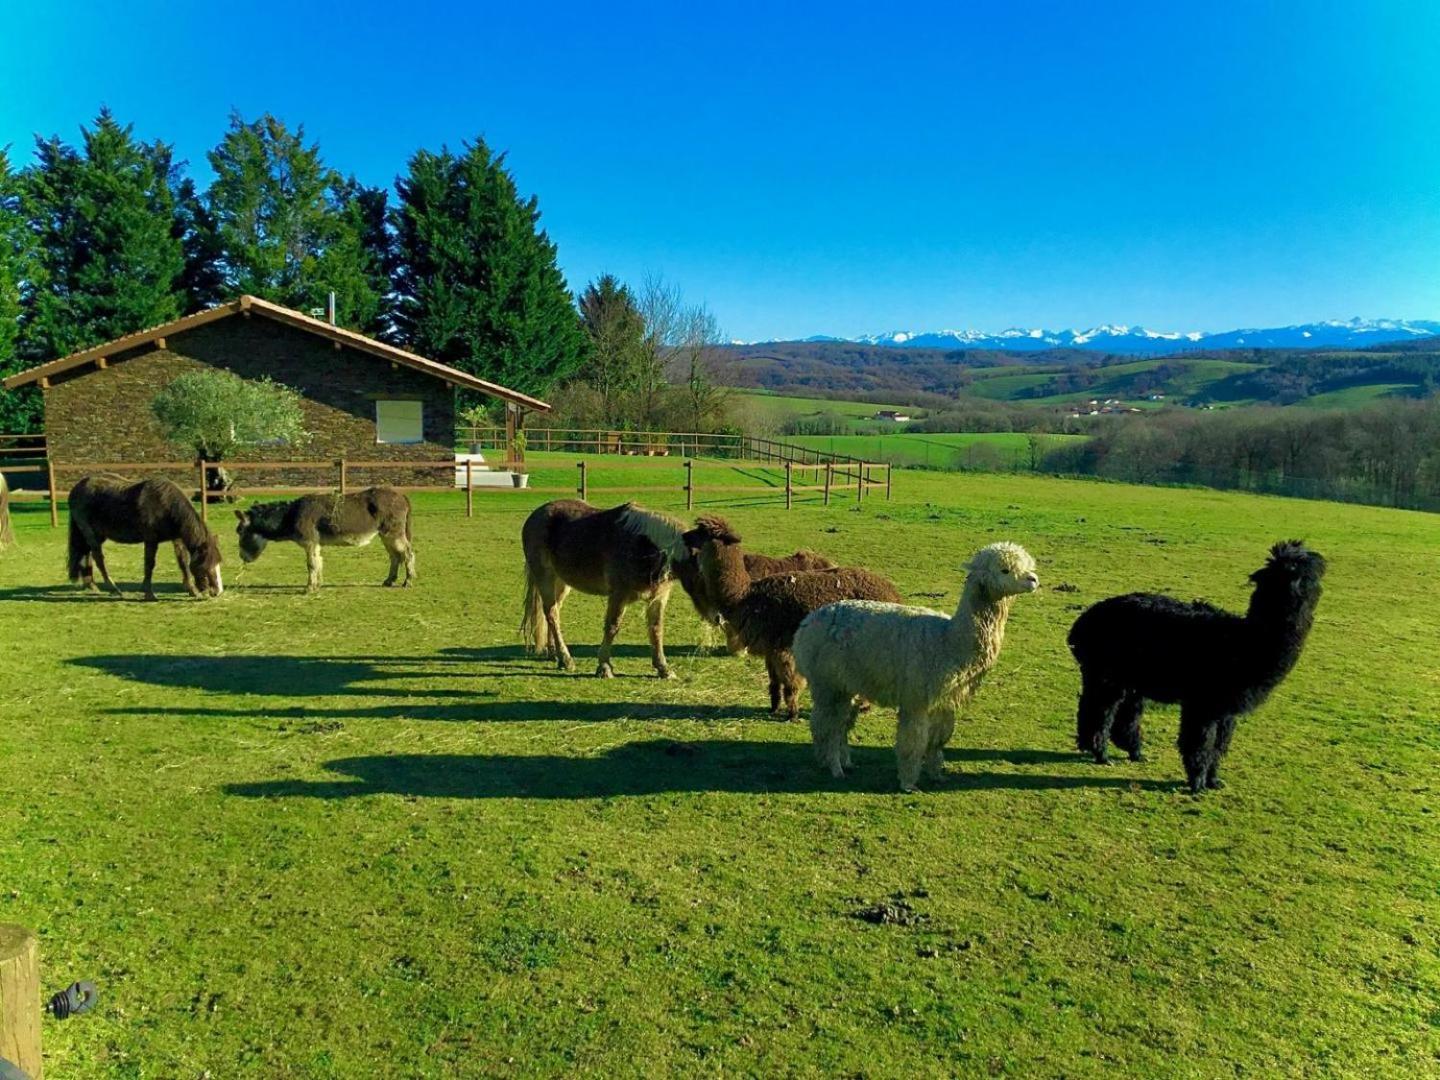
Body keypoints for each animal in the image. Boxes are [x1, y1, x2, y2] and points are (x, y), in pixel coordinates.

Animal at [67, 475, 223, 601]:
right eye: (205, 564)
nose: (217, 591)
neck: (166, 505)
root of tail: (76, 489)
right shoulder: (151, 540)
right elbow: (149, 564)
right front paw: (148, 593)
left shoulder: (177, 539)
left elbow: (183, 562)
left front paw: (192, 590)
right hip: (90, 533)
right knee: (98, 557)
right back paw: (113, 589)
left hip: (96, 535)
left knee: (86, 553)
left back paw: (91, 585)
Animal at [230, 489, 411, 593]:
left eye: (240, 531)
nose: (242, 557)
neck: (291, 515)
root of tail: (401, 495)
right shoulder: (315, 544)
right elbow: (318, 562)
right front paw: (317, 585)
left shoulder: (310, 543)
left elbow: (311, 564)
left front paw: (309, 588)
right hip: (385, 535)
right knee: (395, 556)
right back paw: (389, 581)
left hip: (392, 533)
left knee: (407, 554)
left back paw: (408, 581)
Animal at [524, 498, 691, 676]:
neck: (644, 546)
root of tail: (536, 515)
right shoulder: (619, 595)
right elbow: (612, 626)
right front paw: (604, 667)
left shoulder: (658, 598)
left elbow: (656, 629)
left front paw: (663, 668)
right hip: (545, 577)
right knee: (552, 614)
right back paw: (565, 659)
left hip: (561, 582)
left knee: (553, 612)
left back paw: (554, 655)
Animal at [1071, 541, 1324, 794]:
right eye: (1286, 572)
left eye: (1309, 576)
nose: (1297, 598)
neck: (1242, 643)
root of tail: (1080, 625)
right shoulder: (1202, 702)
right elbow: (1200, 742)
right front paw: (1197, 783)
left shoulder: (1225, 709)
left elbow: (1219, 745)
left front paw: (1214, 781)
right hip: (1106, 674)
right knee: (1098, 711)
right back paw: (1101, 754)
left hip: (1130, 678)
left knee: (1120, 713)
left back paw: (1133, 753)